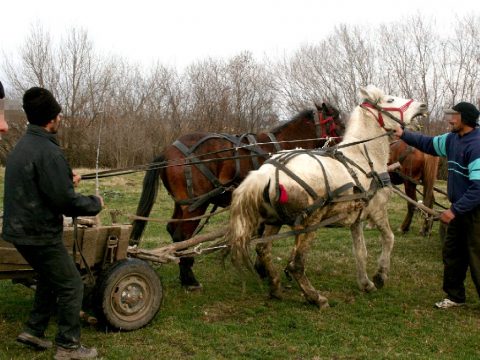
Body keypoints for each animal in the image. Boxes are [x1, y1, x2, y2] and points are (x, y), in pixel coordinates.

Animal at [129, 102, 344, 288]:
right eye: (338, 124)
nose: (344, 146)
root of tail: (168, 153)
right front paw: (263, 269)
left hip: (182, 203)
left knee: (173, 230)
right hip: (195, 205)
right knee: (182, 235)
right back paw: (189, 278)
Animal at [226, 86, 428, 308]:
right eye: (390, 99)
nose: (422, 105)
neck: (364, 158)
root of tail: (266, 173)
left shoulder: (356, 219)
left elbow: (361, 252)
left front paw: (365, 283)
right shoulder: (378, 211)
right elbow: (389, 238)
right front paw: (381, 275)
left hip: (275, 221)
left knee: (263, 249)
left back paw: (276, 287)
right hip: (310, 223)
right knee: (296, 264)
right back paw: (315, 297)